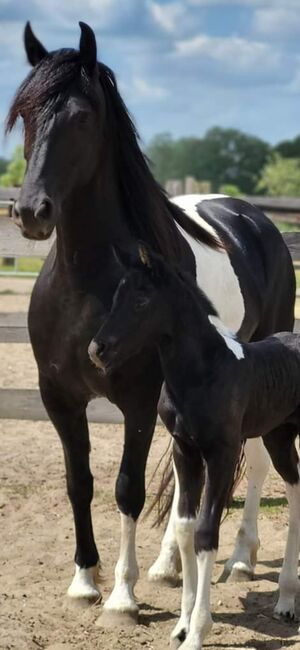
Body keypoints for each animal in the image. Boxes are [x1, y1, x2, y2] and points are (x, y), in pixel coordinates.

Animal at [88, 244, 300, 648]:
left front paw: (199, 631)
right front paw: (182, 624)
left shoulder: (222, 454)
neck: (204, 374)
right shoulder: (184, 450)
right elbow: (185, 528)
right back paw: (285, 601)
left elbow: (205, 533)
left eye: (142, 299)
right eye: (116, 296)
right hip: (278, 437)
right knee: (296, 490)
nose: (97, 349)